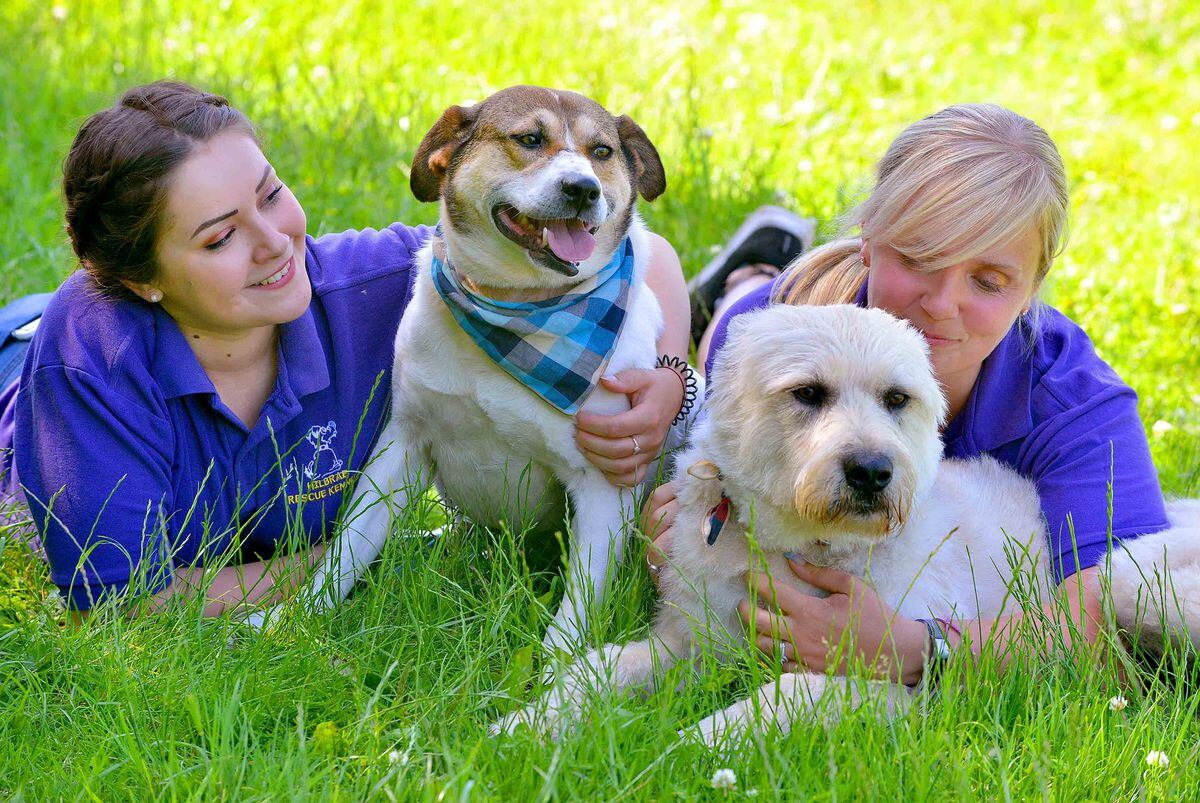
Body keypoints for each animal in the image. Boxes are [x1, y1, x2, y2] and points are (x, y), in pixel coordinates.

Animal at [247, 87, 672, 652]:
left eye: (602, 152)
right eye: (529, 139)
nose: (583, 189)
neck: (517, 310)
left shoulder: (603, 484)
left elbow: (577, 606)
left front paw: (555, 671)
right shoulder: (402, 444)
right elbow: (347, 550)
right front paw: (292, 623)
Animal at [494, 302, 1200, 744]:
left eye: (897, 399)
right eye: (808, 393)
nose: (871, 471)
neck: (803, 547)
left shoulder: (899, 687)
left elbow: (786, 694)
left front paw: (696, 741)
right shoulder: (688, 644)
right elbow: (601, 669)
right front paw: (520, 727)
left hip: (1134, 582)